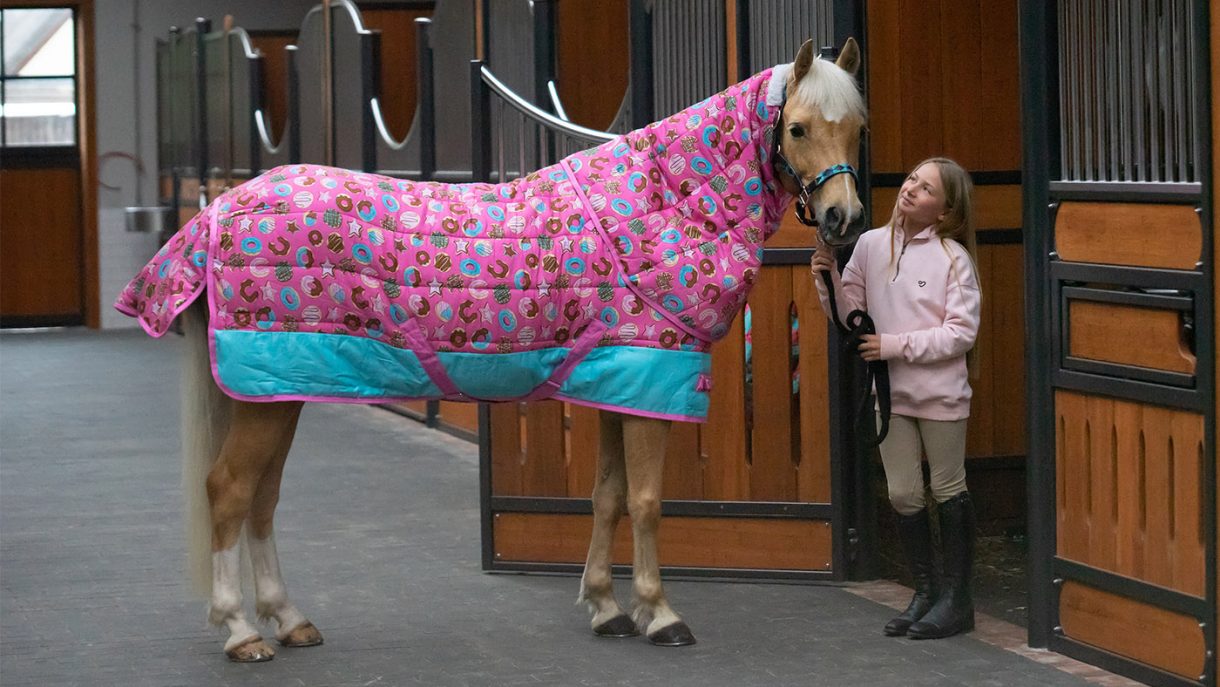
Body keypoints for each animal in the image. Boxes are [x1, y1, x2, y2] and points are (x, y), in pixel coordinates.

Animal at [115, 38, 867, 662]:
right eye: (797, 128)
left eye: (857, 128)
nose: (845, 218)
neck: (658, 210)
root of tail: (218, 209)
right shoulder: (650, 380)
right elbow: (648, 500)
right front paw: (660, 614)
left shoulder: (616, 382)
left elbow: (607, 495)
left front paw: (605, 606)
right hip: (267, 393)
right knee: (230, 492)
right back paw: (241, 631)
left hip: (280, 388)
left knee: (263, 498)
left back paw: (289, 619)